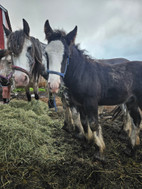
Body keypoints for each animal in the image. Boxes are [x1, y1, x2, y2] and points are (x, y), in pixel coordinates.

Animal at [43, 19, 142, 160]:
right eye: (46, 53)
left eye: (67, 55)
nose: (54, 85)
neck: (83, 74)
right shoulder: (79, 103)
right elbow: (84, 122)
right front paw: (86, 142)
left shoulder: (91, 102)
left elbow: (94, 124)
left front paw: (99, 151)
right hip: (131, 101)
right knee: (136, 120)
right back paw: (131, 149)